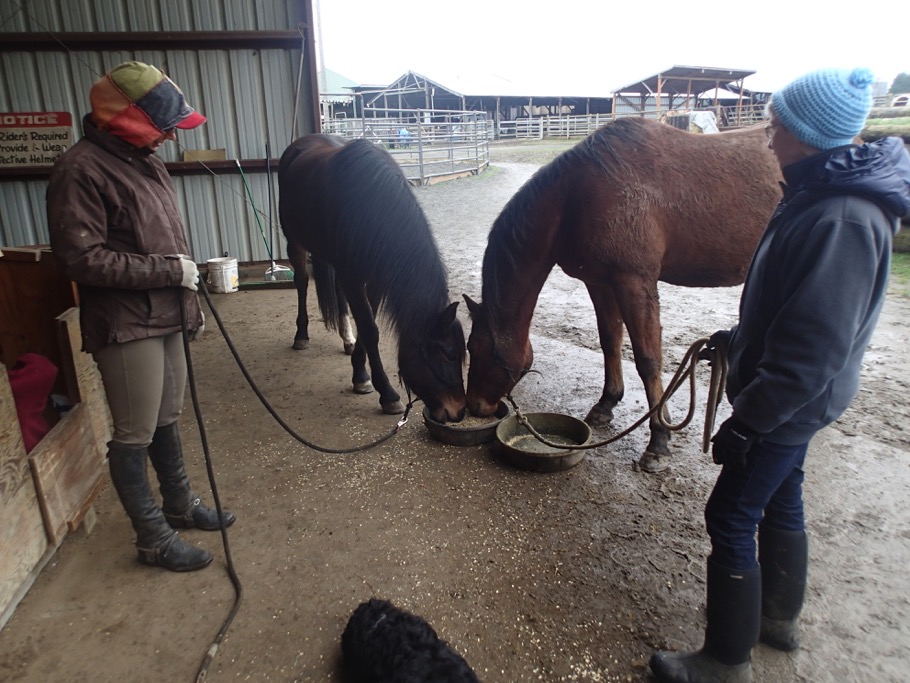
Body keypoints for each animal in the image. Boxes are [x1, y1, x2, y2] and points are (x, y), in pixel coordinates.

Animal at [278, 134, 467, 423]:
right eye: (447, 355)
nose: (458, 412)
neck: (369, 204)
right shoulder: (354, 277)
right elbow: (370, 330)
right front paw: (387, 393)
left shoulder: (373, 278)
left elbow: (369, 327)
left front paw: (360, 374)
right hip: (295, 241)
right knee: (301, 282)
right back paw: (301, 336)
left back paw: (346, 338)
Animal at [463, 117, 781, 472]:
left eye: (475, 348)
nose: (474, 406)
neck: (577, 196)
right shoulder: (601, 283)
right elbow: (610, 342)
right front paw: (606, 404)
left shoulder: (634, 282)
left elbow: (648, 359)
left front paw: (659, 441)